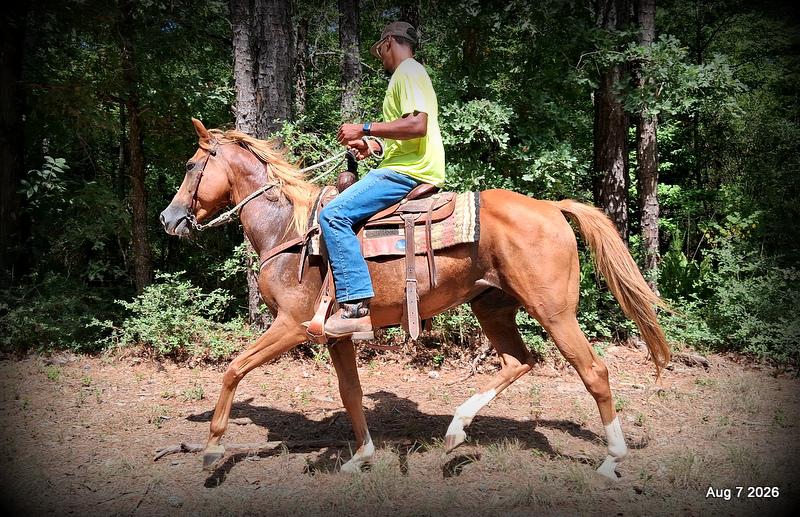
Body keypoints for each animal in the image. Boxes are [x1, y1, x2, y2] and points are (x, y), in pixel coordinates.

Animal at [160, 118, 670, 480]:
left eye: (189, 166)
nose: (169, 218)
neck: (289, 229)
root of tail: (552, 207)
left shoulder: (290, 324)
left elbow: (233, 369)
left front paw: (212, 451)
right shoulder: (335, 335)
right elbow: (351, 393)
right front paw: (361, 457)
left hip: (555, 312)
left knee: (594, 372)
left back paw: (612, 460)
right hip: (493, 307)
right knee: (518, 361)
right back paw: (456, 431)